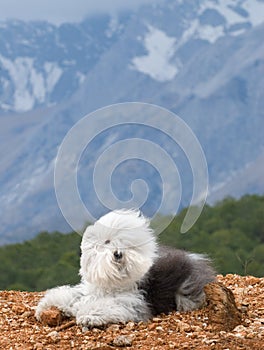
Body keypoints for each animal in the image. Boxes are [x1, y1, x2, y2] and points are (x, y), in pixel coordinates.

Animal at [35, 209, 216, 326]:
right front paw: (46, 306)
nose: (118, 254)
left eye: (128, 245)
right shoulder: (90, 291)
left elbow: (108, 305)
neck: (113, 281)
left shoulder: (133, 301)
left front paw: (88, 315)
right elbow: (70, 295)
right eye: (107, 241)